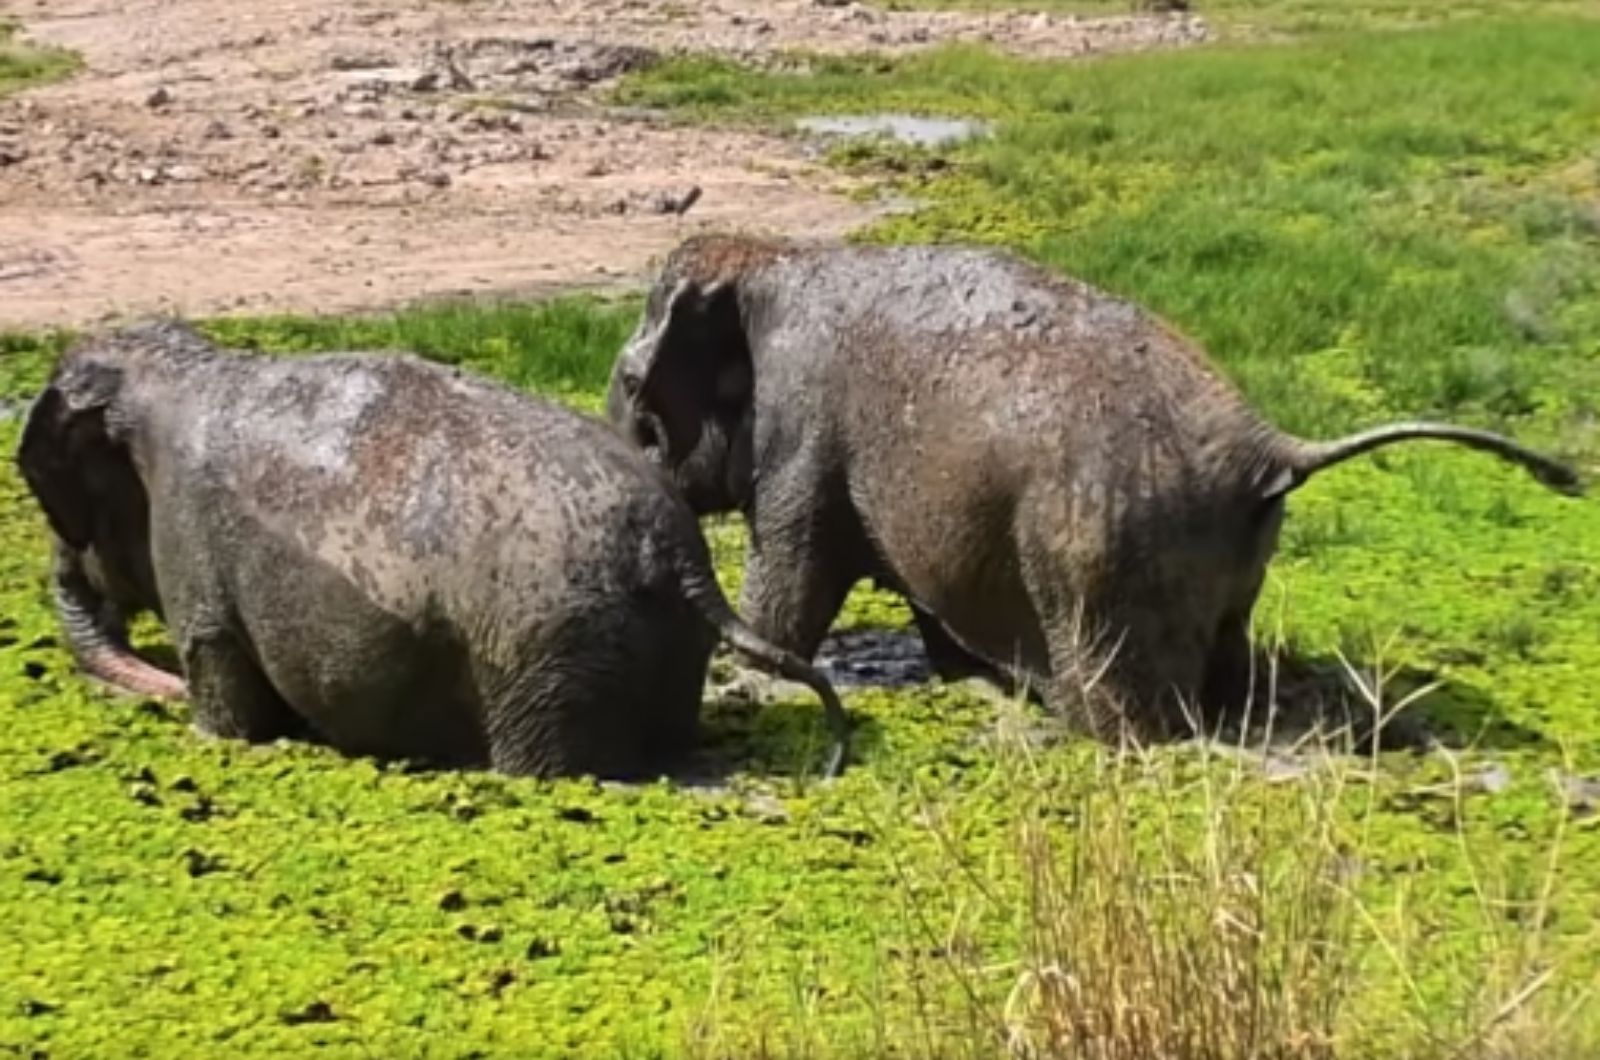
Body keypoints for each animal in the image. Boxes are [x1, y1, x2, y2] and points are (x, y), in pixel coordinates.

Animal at [18, 323, 857, 781]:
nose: (152, 686)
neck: (179, 365)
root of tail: (682, 552)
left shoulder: (190, 542)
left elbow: (227, 705)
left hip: (545, 647)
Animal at [604, 236, 1580, 742]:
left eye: (628, 386)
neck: (770, 257)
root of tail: (1265, 445)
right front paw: (960, 672)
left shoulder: (804, 435)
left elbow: (796, 573)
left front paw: (755, 671)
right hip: (1220, 554)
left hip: (1105, 547)